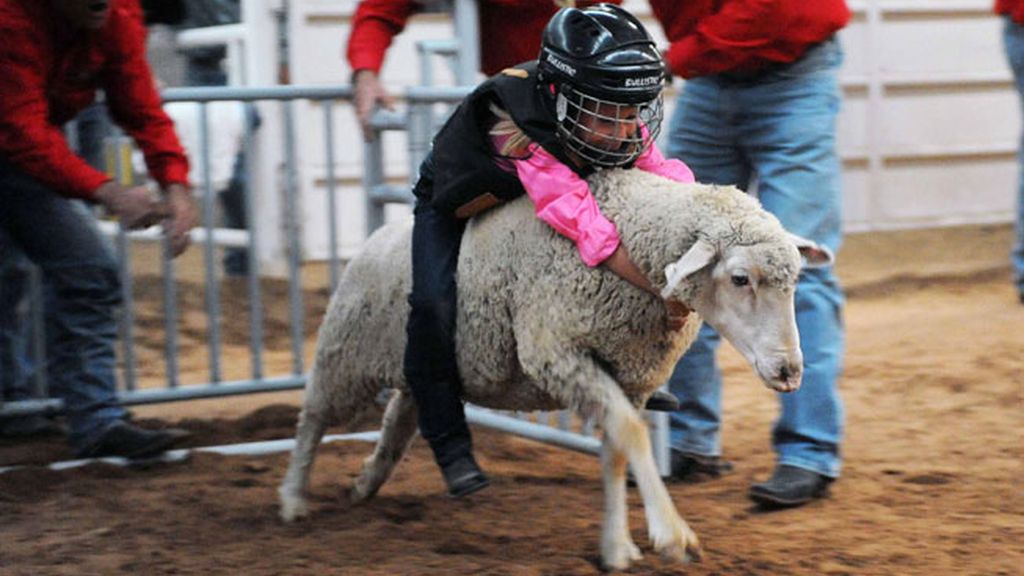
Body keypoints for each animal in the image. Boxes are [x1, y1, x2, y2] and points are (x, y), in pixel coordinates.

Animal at [278, 168, 832, 571]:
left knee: (400, 416)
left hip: (419, 364)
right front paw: (672, 535)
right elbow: (632, 435)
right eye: (740, 278)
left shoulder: (629, 375)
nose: (789, 370)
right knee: (312, 418)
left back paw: (366, 482)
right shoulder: (556, 353)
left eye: (795, 279)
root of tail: (377, 235)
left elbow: (617, 450)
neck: (628, 246)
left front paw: (615, 548)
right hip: (346, 356)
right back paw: (292, 501)